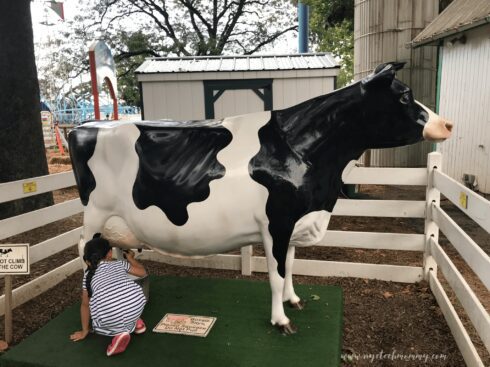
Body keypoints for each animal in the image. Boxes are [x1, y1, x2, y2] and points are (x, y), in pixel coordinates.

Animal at [68, 62, 452, 334]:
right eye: (404, 95)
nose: (447, 124)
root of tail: (89, 124)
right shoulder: (277, 224)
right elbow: (277, 273)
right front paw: (280, 321)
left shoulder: (298, 222)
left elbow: (292, 267)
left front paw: (294, 301)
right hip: (95, 213)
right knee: (84, 252)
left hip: (117, 219)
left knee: (116, 249)